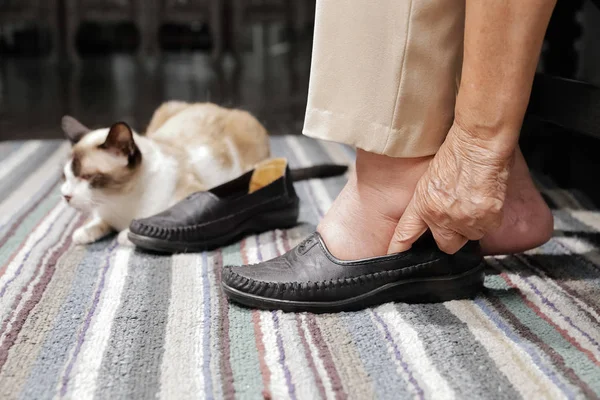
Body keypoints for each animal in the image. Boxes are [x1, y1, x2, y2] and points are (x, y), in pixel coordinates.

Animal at [60, 101, 270, 244]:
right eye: (66, 177)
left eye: (87, 177)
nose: (66, 196)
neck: (119, 201)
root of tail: (223, 108)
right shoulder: (105, 213)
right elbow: (98, 222)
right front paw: (83, 233)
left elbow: (129, 232)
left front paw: (125, 235)